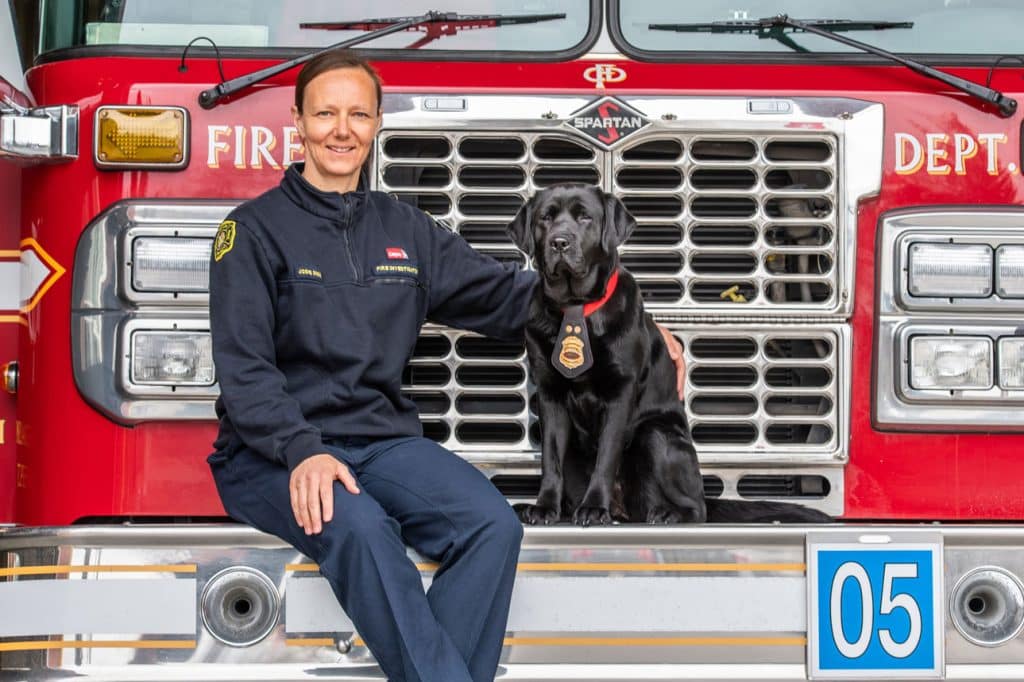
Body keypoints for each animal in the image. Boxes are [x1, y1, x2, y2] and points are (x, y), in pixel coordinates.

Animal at [507, 183, 827, 522]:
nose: (559, 242)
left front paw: (594, 507)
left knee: (697, 508)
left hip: (655, 435)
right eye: (545, 218)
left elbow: (606, 455)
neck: (575, 307)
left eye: (585, 218)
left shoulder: (620, 391)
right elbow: (550, 459)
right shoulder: (550, 394)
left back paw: (666, 514)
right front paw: (544, 507)